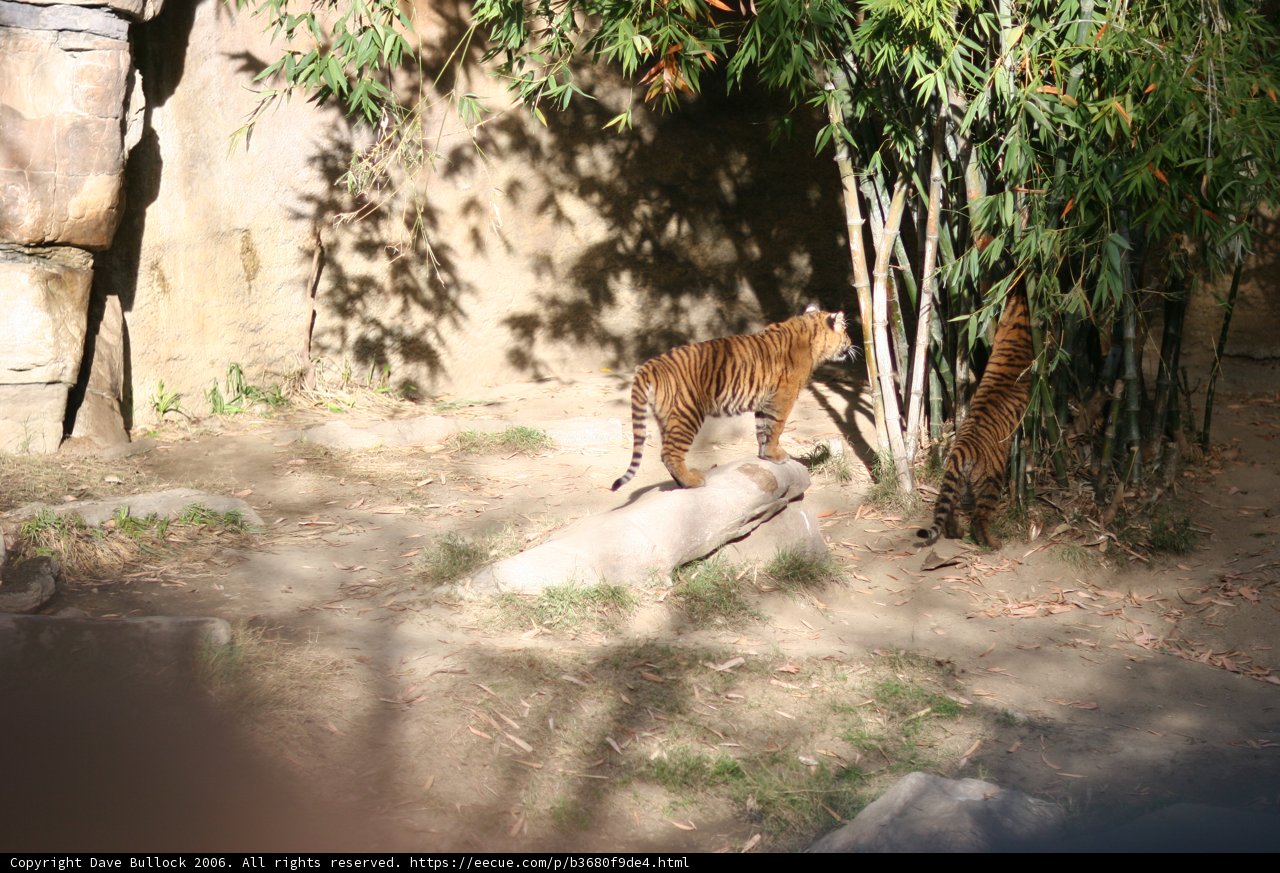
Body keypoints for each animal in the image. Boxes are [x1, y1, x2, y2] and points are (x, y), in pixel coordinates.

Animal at [611, 307, 854, 491]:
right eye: (846, 332)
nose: (852, 344)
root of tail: (650, 364)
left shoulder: (765, 401)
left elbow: (763, 428)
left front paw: (765, 455)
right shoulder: (782, 398)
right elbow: (776, 427)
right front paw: (777, 454)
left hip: (666, 418)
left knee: (666, 454)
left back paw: (681, 482)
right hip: (687, 413)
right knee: (670, 453)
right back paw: (692, 481)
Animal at [917, 279, 1033, 548]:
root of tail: (962, 447)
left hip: (957, 480)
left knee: (947, 509)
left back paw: (956, 532)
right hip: (991, 480)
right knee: (979, 517)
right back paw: (991, 542)